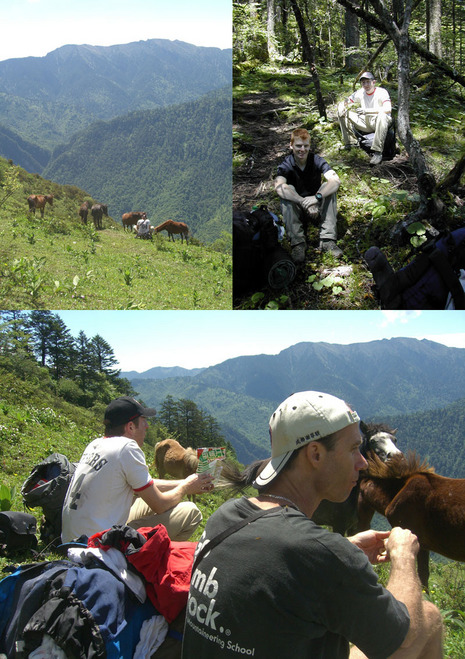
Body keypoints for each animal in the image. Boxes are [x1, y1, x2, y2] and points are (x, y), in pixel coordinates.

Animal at [356, 454, 464, 592]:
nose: (359, 529)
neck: (398, 492)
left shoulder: (417, 542)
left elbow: (422, 576)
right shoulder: (423, 545)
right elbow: (423, 575)